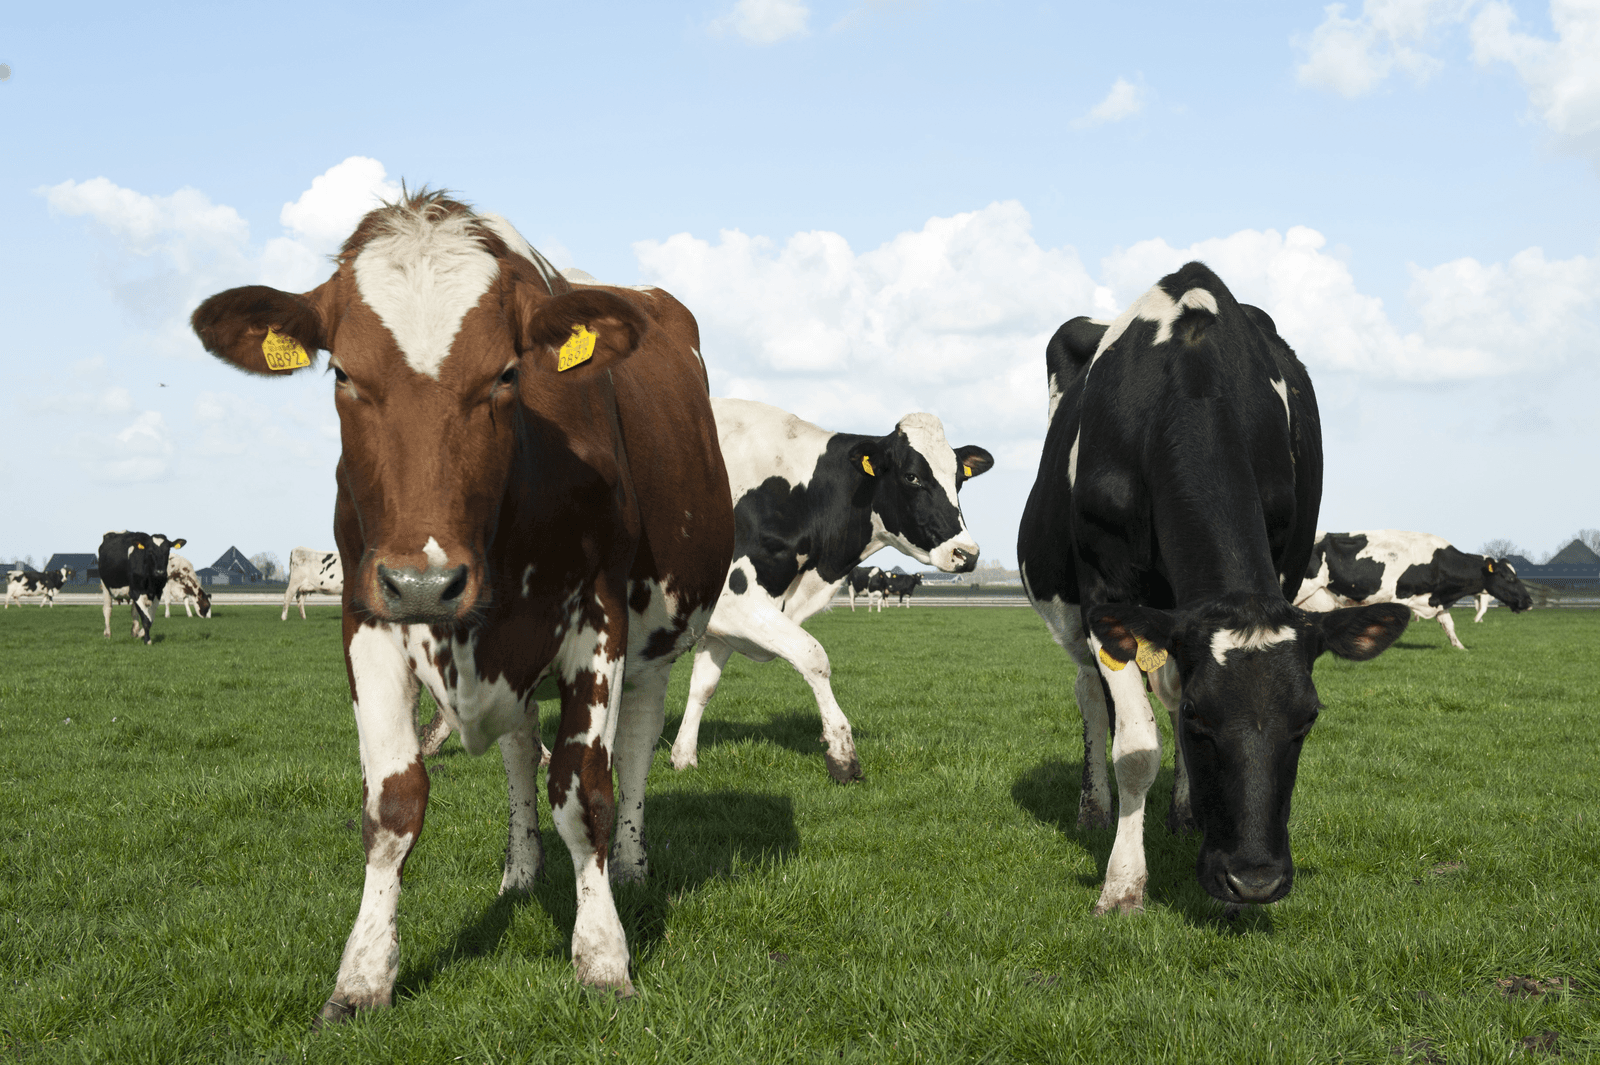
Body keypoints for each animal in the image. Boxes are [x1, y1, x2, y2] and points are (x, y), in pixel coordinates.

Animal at [190, 190, 733, 1020]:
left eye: (507, 373)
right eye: (342, 372)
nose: (427, 582)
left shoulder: (597, 617)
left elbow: (586, 791)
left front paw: (604, 954)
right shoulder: (367, 615)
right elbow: (394, 802)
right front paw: (362, 975)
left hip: (658, 636)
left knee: (637, 744)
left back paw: (632, 866)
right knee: (517, 746)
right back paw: (520, 869)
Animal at [668, 397, 993, 783]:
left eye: (959, 479)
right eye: (911, 476)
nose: (967, 553)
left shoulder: (722, 623)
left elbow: (703, 686)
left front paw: (683, 757)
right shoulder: (734, 602)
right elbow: (813, 656)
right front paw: (842, 753)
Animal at [1018, 262, 1409, 915]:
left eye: (1309, 718)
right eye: (1203, 716)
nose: (1255, 879)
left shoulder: (1283, 568)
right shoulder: (1104, 594)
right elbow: (1136, 746)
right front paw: (1122, 885)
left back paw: (1183, 816)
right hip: (1073, 618)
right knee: (1089, 694)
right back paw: (1094, 809)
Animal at [1294, 530, 1532, 650]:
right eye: (1510, 578)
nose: (1529, 602)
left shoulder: (1437, 600)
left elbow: (1449, 625)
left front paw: (1459, 647)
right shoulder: (1400, 596)